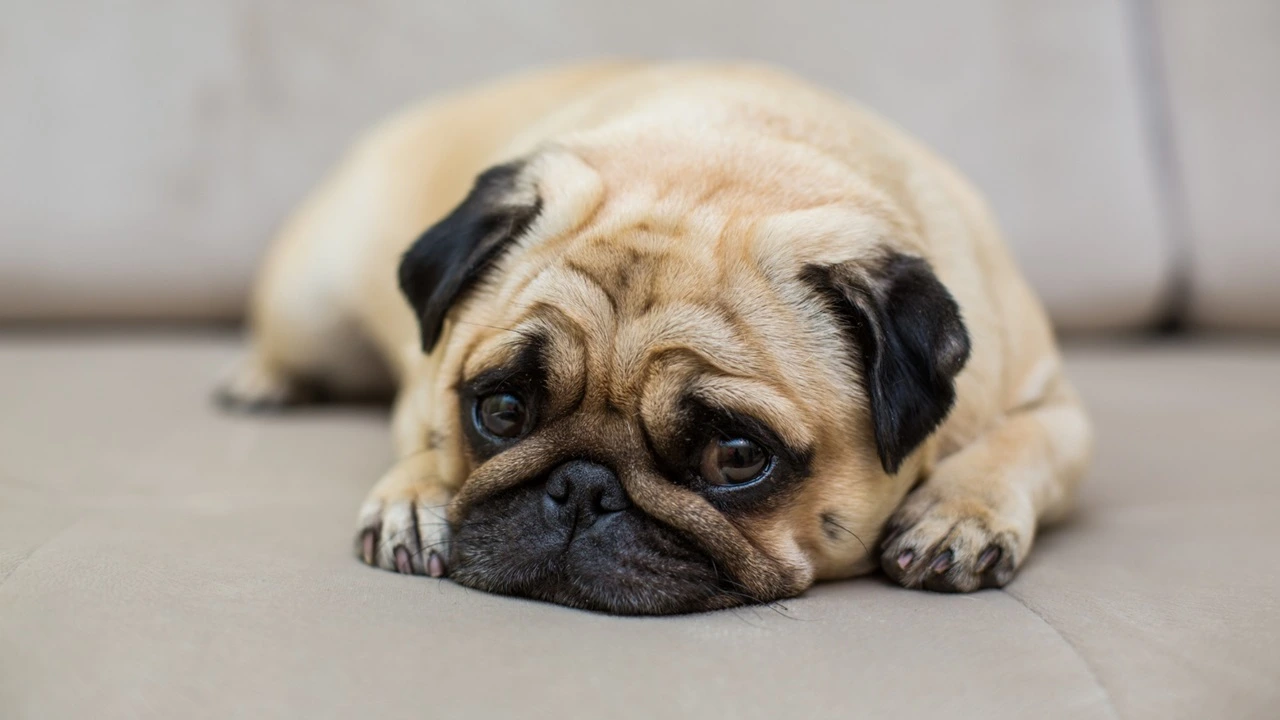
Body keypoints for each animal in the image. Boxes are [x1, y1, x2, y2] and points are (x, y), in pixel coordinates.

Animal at [217, 61, 1090, 609]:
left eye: (735, 458)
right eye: (501, 412)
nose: (582, 488)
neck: (736, 149)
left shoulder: (1056, 405)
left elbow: (1027, 445)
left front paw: (960, 512)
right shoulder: (424, 378)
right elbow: (425, 434)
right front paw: (417, 492)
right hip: (312, 309)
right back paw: (258, 381)